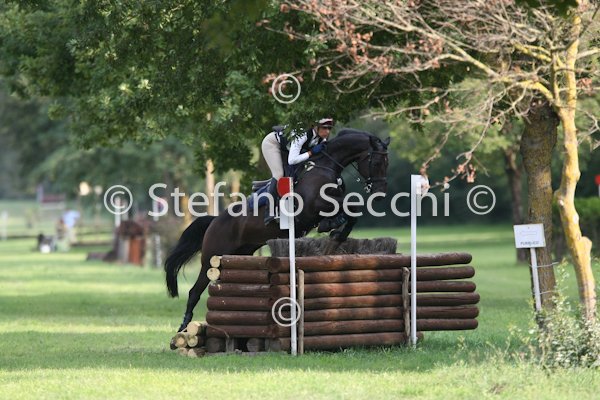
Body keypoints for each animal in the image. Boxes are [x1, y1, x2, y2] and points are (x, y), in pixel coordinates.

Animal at [164, 129, 390, 331]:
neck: (326, 166)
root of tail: (214, 221)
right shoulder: (313, 207)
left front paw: (336, 231)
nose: (380, 194)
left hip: (237, 255)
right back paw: (183, 328)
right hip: (211, 258)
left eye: (386, 164)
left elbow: (350, 210)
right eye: (377, 163)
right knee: (194, 292)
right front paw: (334, 228)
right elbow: (351, 207)